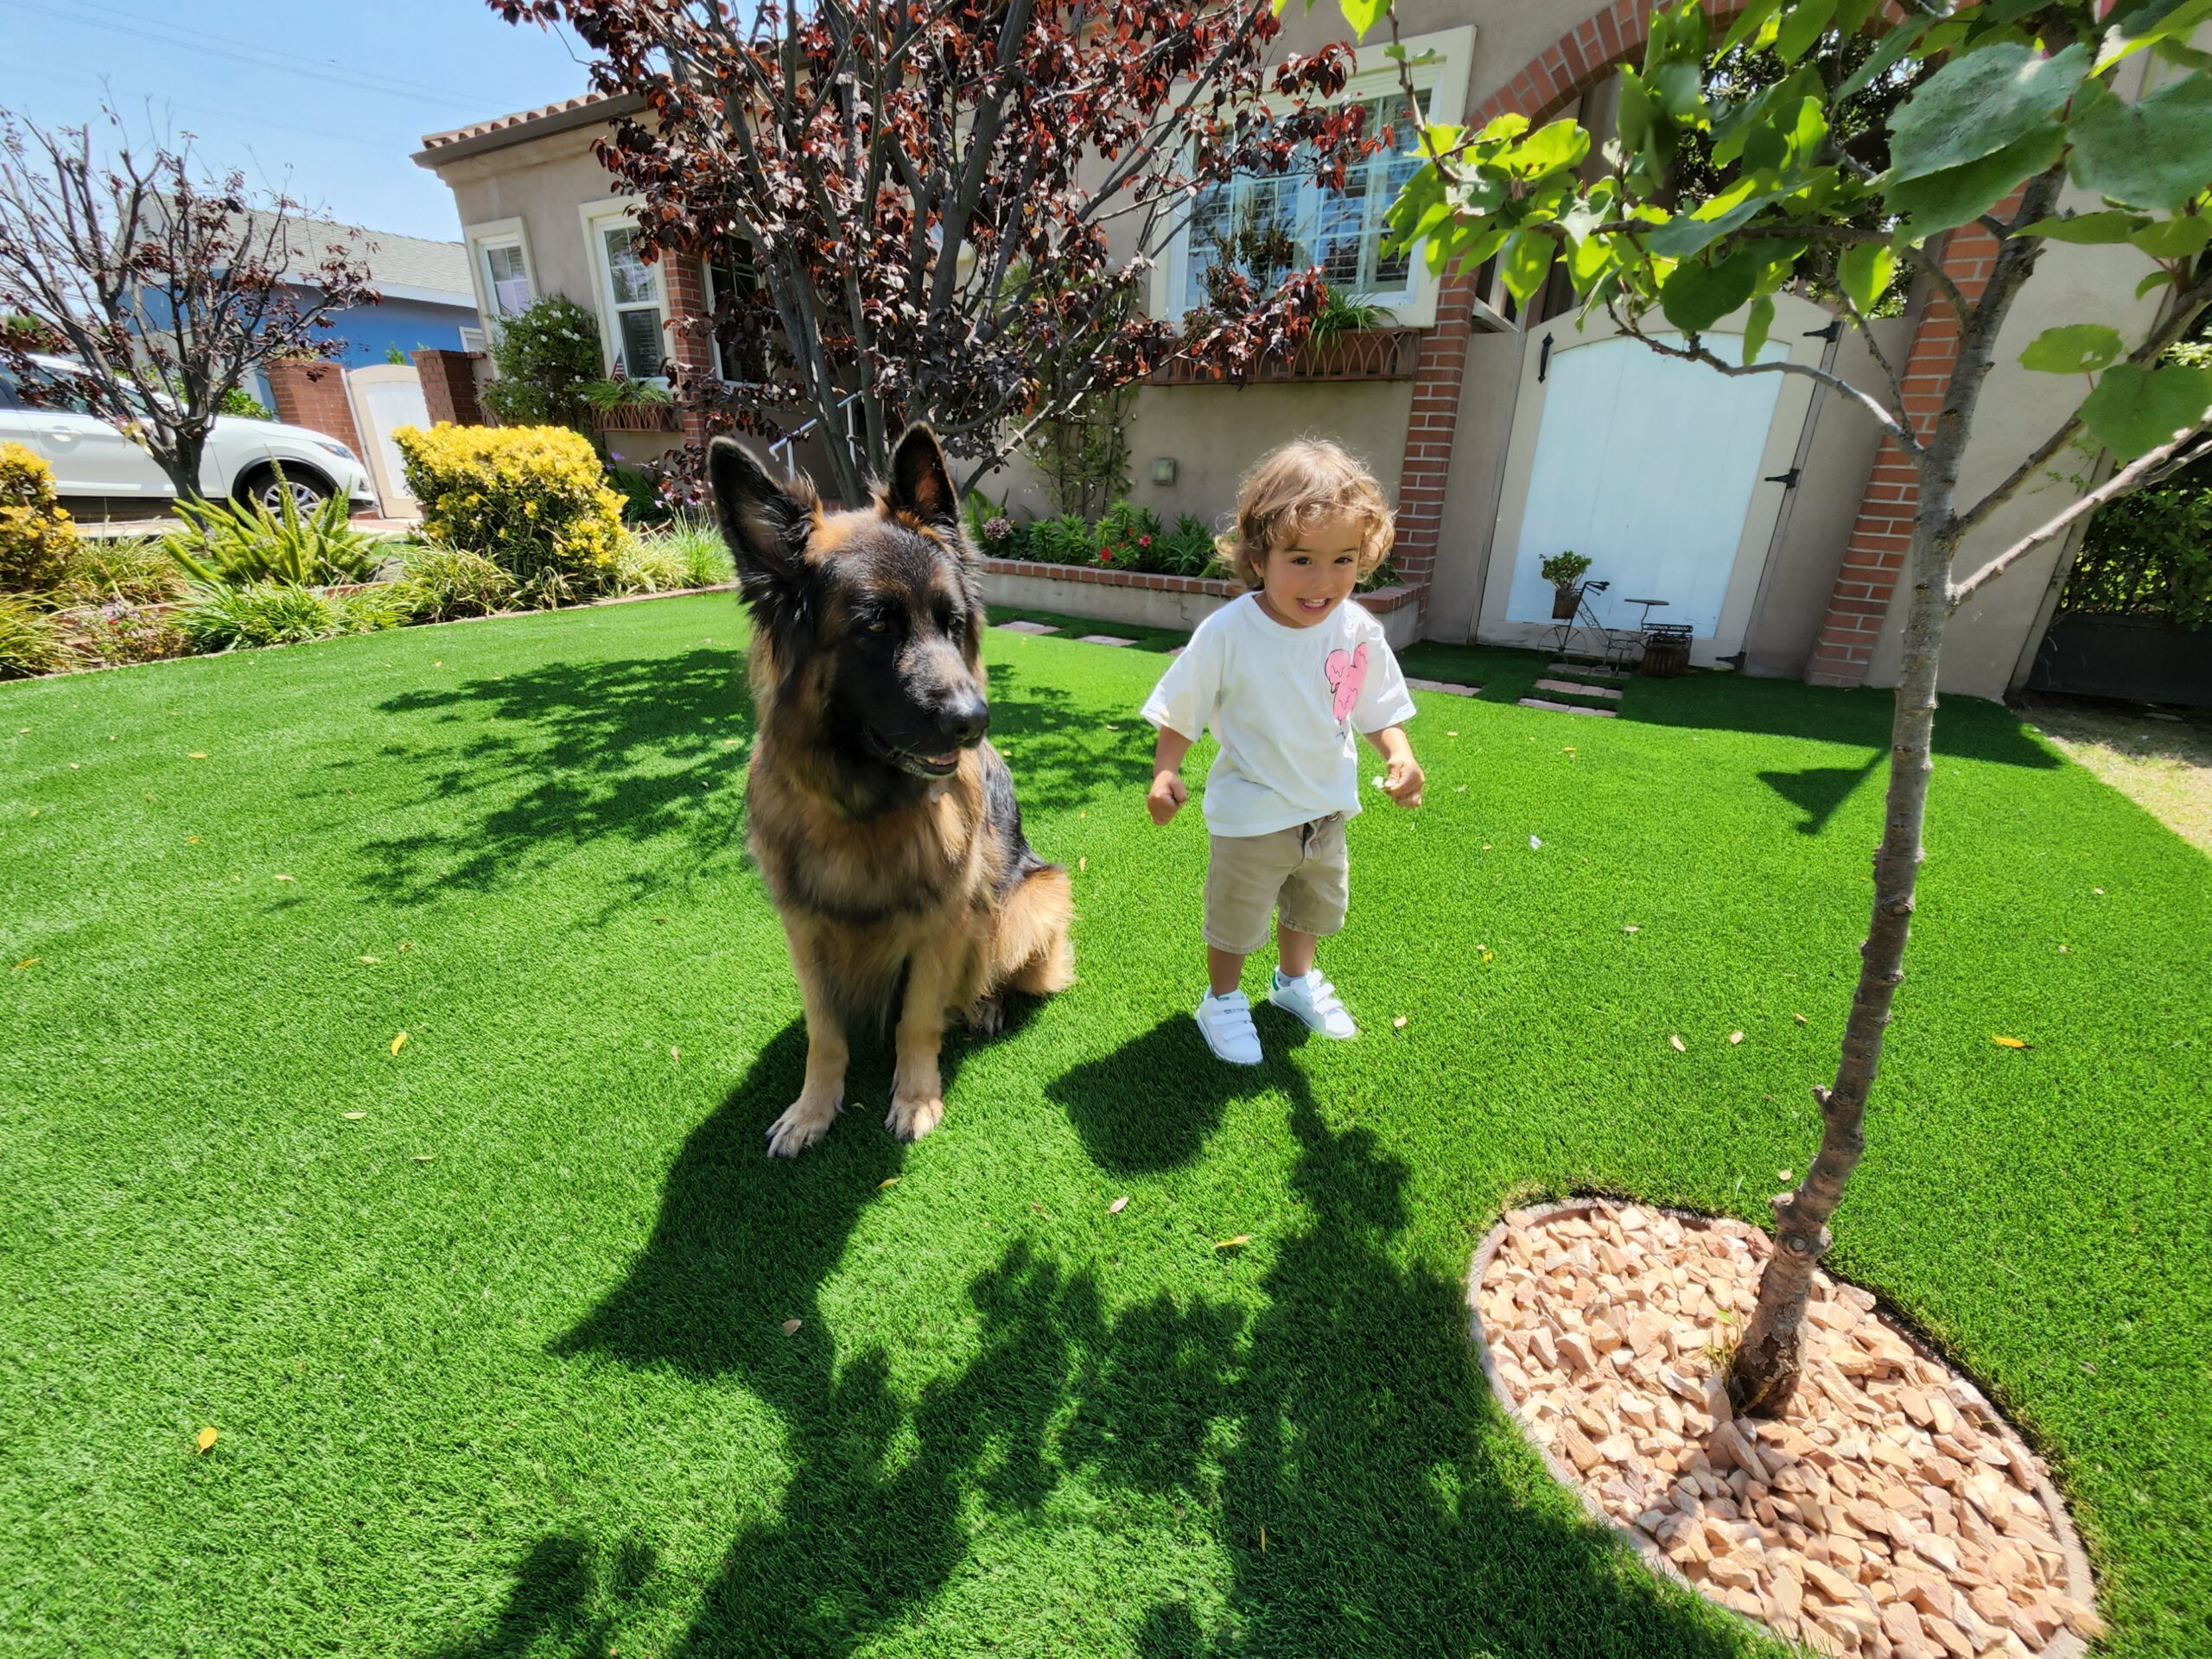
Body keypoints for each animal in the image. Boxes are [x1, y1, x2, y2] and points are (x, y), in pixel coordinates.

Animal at [712, 424, 1075, 1159]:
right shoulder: (804, 928)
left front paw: (915, 1097)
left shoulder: (941, 923)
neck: (864, 810)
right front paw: (813, 1109)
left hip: (1035, 900)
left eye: (953, 622)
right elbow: (824, 1034)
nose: (974, 720)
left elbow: (917, 1020)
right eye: (875, 626)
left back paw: (984, 1004)